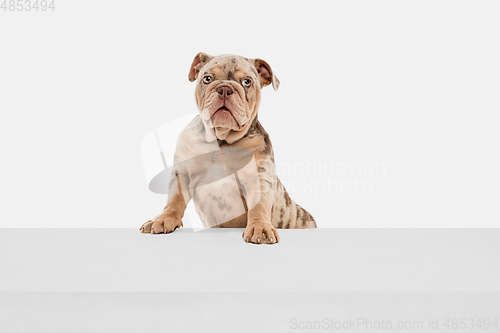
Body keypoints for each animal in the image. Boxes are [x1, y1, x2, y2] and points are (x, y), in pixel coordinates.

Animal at [139, 53, 314, 243]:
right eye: (207, 79)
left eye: (247, 82)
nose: (224, 89)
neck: (221, 139)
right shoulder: (182, 173)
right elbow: (174, 199)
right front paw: (163, 218)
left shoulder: (259, 178)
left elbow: (259, 206)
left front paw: (260, 227)